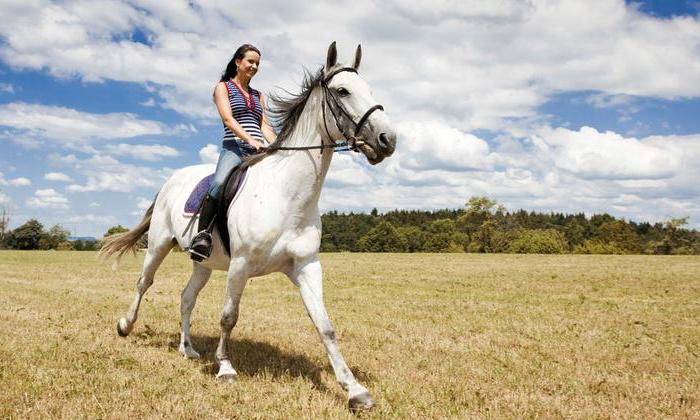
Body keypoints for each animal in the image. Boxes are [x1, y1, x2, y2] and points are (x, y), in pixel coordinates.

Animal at [99, 41, 396, 410]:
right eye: (343, 91)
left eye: (369, 89)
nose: (387, 140)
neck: (286, 194)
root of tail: (172, 179)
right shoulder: (240, 266)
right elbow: (229, 316)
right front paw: (225, 367)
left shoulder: (306, 266)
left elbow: (325, 325)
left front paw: (355, 389)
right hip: (159, 246)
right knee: (144, 283)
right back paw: (126, 325)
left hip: (203, 264)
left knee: (186, 298)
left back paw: (188, 349)